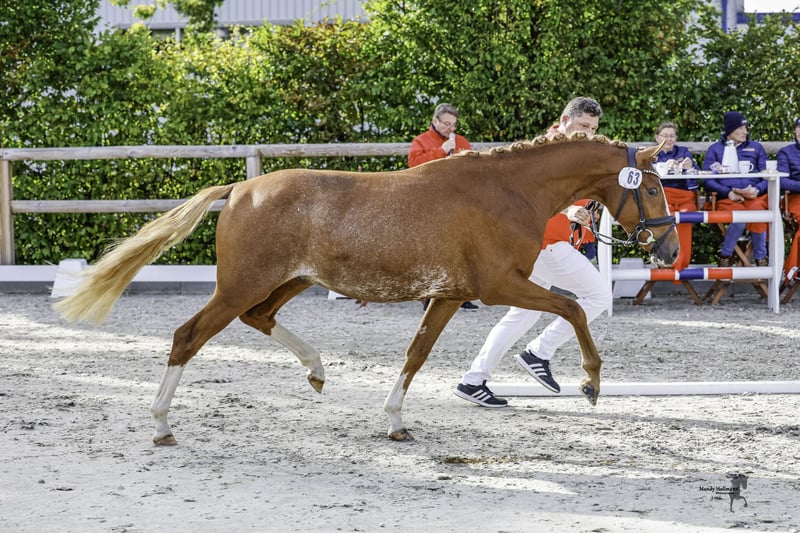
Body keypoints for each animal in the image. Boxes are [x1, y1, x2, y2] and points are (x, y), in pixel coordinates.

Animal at [54, 133, 678, 444]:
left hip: (289, 281)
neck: (507, 191)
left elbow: (416, 354)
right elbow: (573, 308)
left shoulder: (449, 295)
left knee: (259, 319)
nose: (669, 251)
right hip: (240, 285)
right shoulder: (503, 285)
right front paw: (591, 382)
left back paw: (316, 370)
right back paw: (162, 425)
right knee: (189, 335)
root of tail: (238, 191)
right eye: (651, 187)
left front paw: (396, 421)